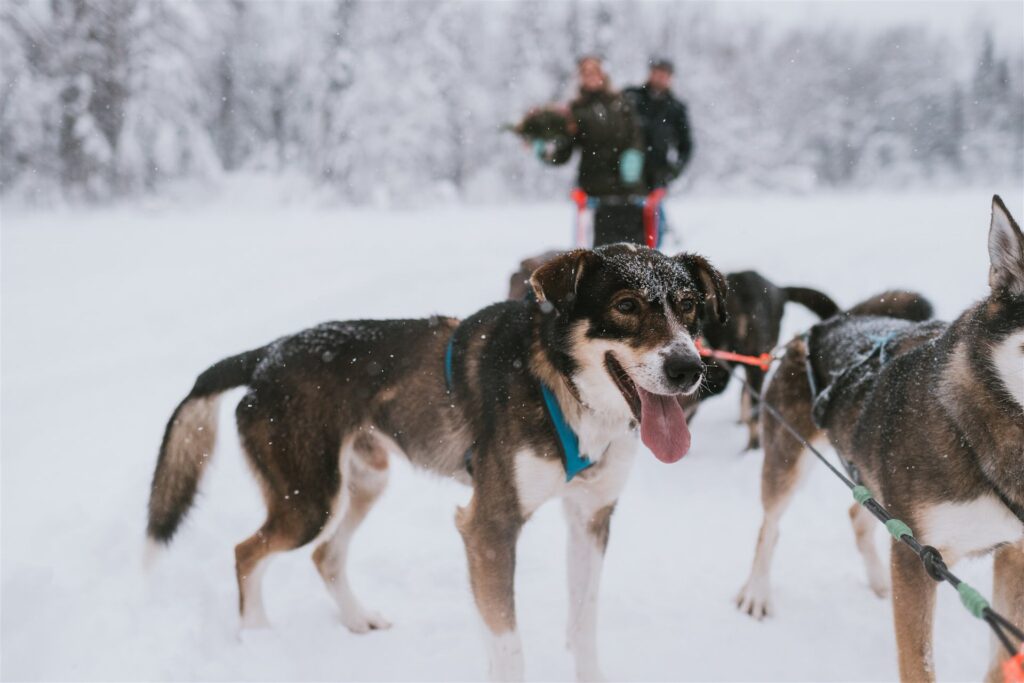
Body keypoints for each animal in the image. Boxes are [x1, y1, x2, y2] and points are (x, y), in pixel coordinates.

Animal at [146, 242, 729, 679]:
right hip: (310, 501)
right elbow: (508, 644)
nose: (688, 368)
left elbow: (583, 627)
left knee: (325, 556)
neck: (562, 386)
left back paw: (356, 619)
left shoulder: (591, 517)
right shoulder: (489, 527)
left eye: (688, 306)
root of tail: (266, 354)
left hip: (365, 484)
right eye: (626, 305)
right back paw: (259, 638)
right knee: (247, 552)